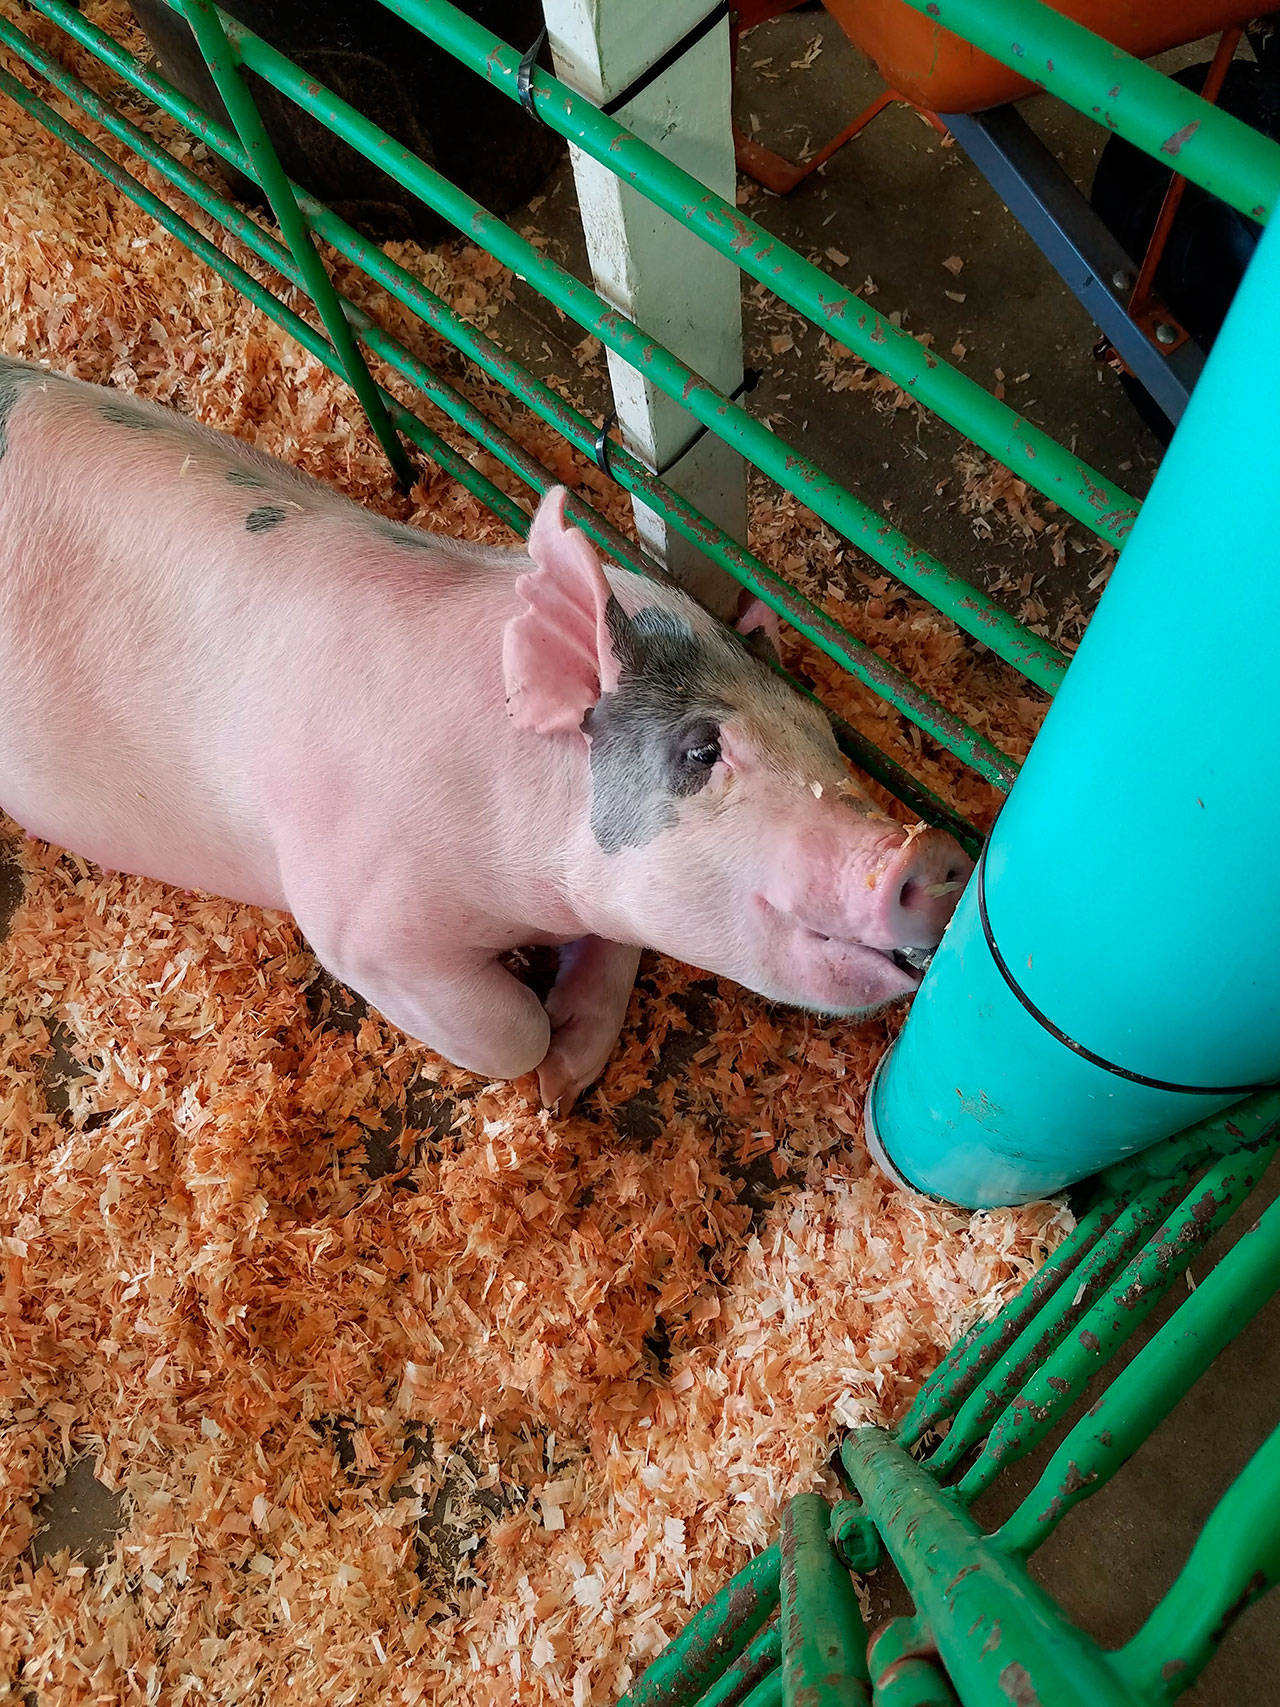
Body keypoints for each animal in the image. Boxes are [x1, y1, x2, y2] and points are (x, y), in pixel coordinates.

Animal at [0, 355, 971, 1110]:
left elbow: (616, 955)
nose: (936, 854)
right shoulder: (358, 924)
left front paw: (567, 1082)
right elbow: (508, 1029)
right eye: (701, 750)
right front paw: (542, 1087)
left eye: (823, 733)